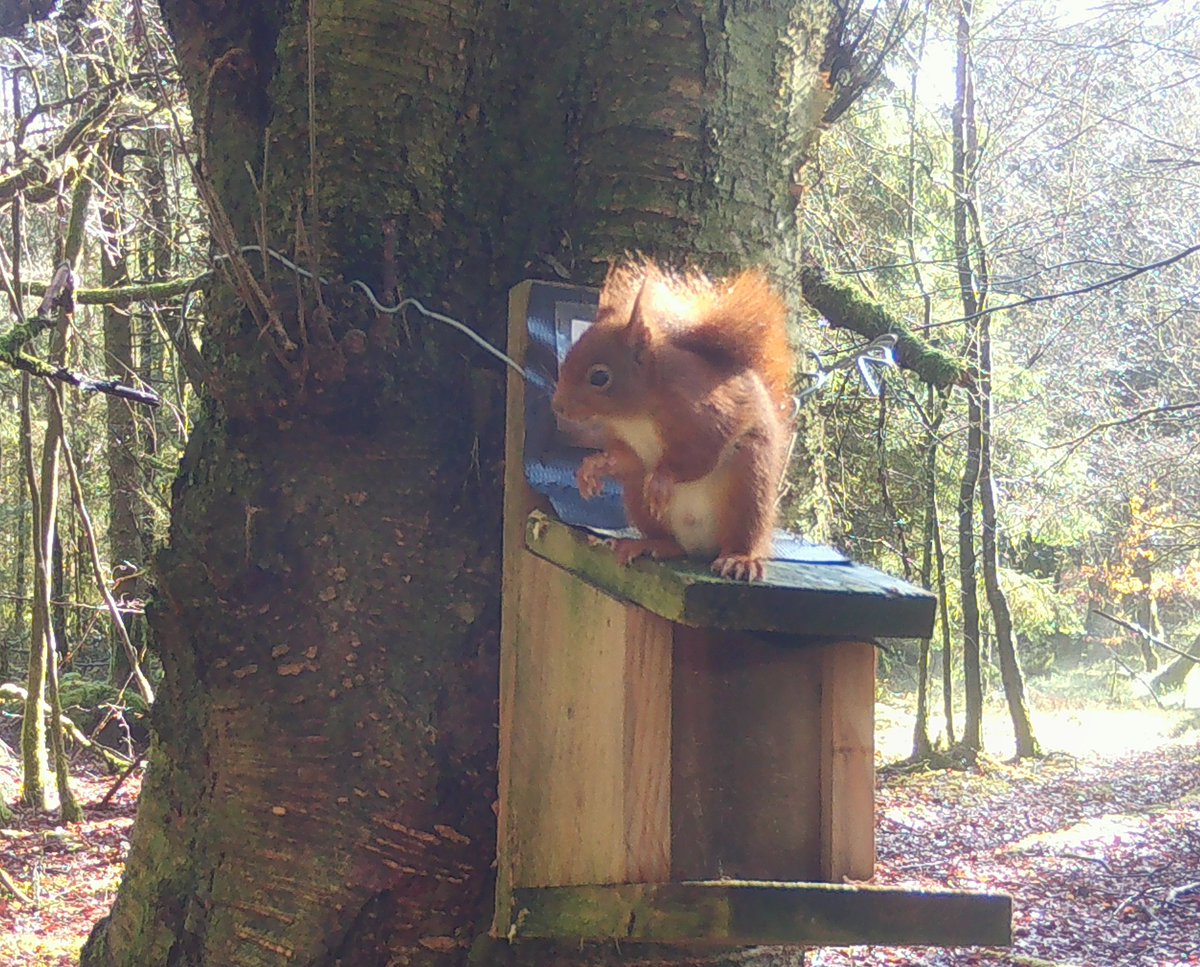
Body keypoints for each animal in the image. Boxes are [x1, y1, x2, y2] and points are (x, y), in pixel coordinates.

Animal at [552, 257, 796, 587]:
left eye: (600, 377)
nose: (558, 407)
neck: (635, 415)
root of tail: (701, 547)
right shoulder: (626, 443)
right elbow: (626, 460)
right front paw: (592, 468)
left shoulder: (707, 415)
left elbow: (700, 455)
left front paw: (662, 479)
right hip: (638, 500)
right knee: (670, 540)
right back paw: (649, 544)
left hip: (748, 482)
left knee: (743, 534)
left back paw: (740, 559)